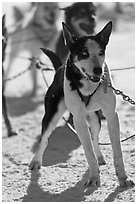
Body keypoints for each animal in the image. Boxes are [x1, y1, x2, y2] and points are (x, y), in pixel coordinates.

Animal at [28, 21, 133, 188]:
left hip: (95, 118)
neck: (88, 84)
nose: (98, 70)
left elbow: (116, 150)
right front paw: (94, 177)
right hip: (51, 116)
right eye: (84, 53)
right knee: (44, 139)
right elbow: (88, 151)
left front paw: (123, 178)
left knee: (95, 138)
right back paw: (36, 161)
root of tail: (59, 68)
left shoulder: (111, 115)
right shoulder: (78, 119)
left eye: (101, 52)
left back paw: (100, 157)